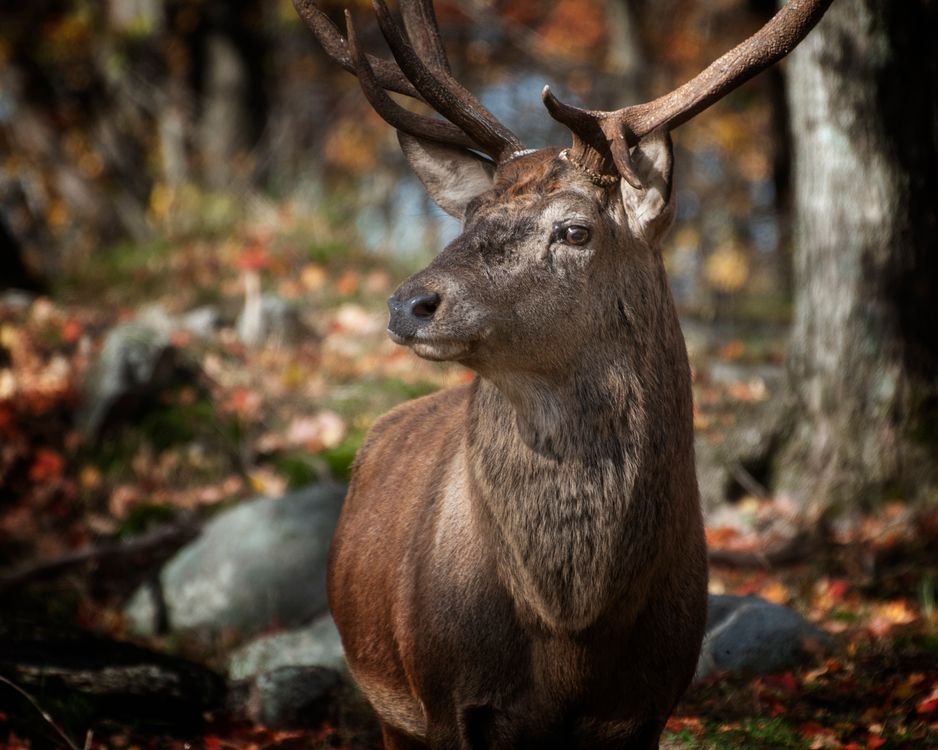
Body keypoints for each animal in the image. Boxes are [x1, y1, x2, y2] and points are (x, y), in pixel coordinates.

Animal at [293, 0, 833, 747]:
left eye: (575, 230)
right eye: (469, 217)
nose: (409, 303)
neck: (572, 634)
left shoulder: (652, 701)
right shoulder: (443, 695)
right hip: (386, 702)